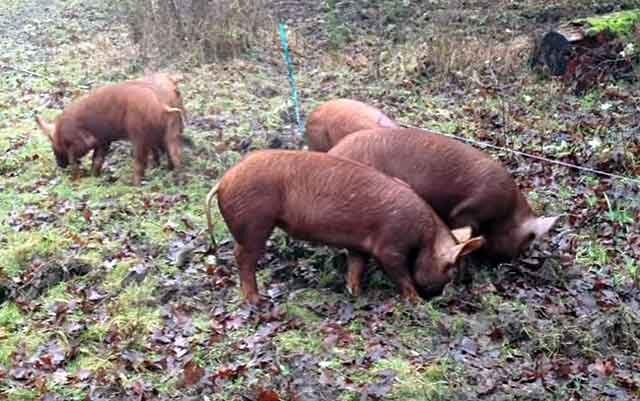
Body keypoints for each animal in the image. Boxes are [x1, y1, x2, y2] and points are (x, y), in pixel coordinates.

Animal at [35, 80, 182, 186]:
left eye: (52, 144)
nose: (60, 165)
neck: (60, 132)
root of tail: (162, 106)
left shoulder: (85, 142)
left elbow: (76, 157)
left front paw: (76, 178)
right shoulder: (104, 141)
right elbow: (97, 160)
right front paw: (93, 177)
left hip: (139, 135)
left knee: (140, 162)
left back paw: (134, 185)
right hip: (172, 132)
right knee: (174, 155)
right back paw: (176, 178)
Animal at [206, 149, 484, 304]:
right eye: (451, 269)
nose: (439, 297)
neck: (424, 234)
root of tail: (224, 180)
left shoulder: (359, 245)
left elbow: (356, 267)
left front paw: (355, 293)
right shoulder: (390, 245)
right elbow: (400, 273)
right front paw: (415, 302)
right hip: (254, 221)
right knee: (243, 257)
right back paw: (257, 301)